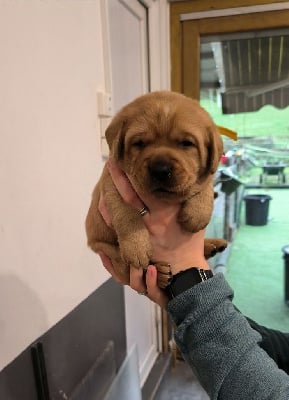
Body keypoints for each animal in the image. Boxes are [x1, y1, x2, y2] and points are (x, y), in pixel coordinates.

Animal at [84, 90, 226, 288]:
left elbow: (206, 185)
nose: (160, 169)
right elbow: (127, 214)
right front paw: (137, 247)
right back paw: (159, 273)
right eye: (139, 143)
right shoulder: (112, 184)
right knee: (131, 271)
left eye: (186, 143)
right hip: (108, 251)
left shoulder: (206, 174)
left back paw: (211, 245)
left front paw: (198, 214)